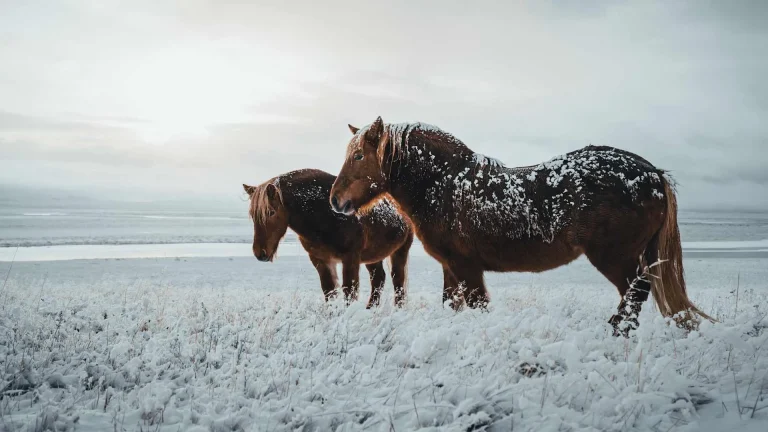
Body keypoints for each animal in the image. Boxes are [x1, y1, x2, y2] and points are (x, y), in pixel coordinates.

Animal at [243, 169, 414, 307]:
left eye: (271, 212)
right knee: (378, 279)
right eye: (252, 215)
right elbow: (329, 292)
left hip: (400, 251)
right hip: (373, 255)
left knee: (398, 282)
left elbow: (349, 292)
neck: (326, 214)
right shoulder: (320, 259)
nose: (260, 253)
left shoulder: (350, 258)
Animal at [329, 117, 712, 336]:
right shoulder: (451, 268)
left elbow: (478, 306)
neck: (445, 184)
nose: (335, 201)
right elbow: (452, 306)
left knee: (636, 292)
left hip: (614, 257)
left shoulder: (467, 267)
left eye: (359, 156)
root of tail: (653, 173)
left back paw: (616, 333)